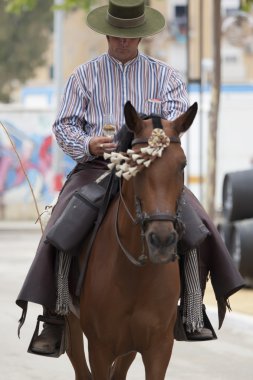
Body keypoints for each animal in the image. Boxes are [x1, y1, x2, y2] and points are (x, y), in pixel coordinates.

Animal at [66, 101, 199, 380]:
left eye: (182, 165)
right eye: (135, 164)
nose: (162, 239)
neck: (136, 274)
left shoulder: (159, 347)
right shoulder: (100, 349)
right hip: (72, 326)